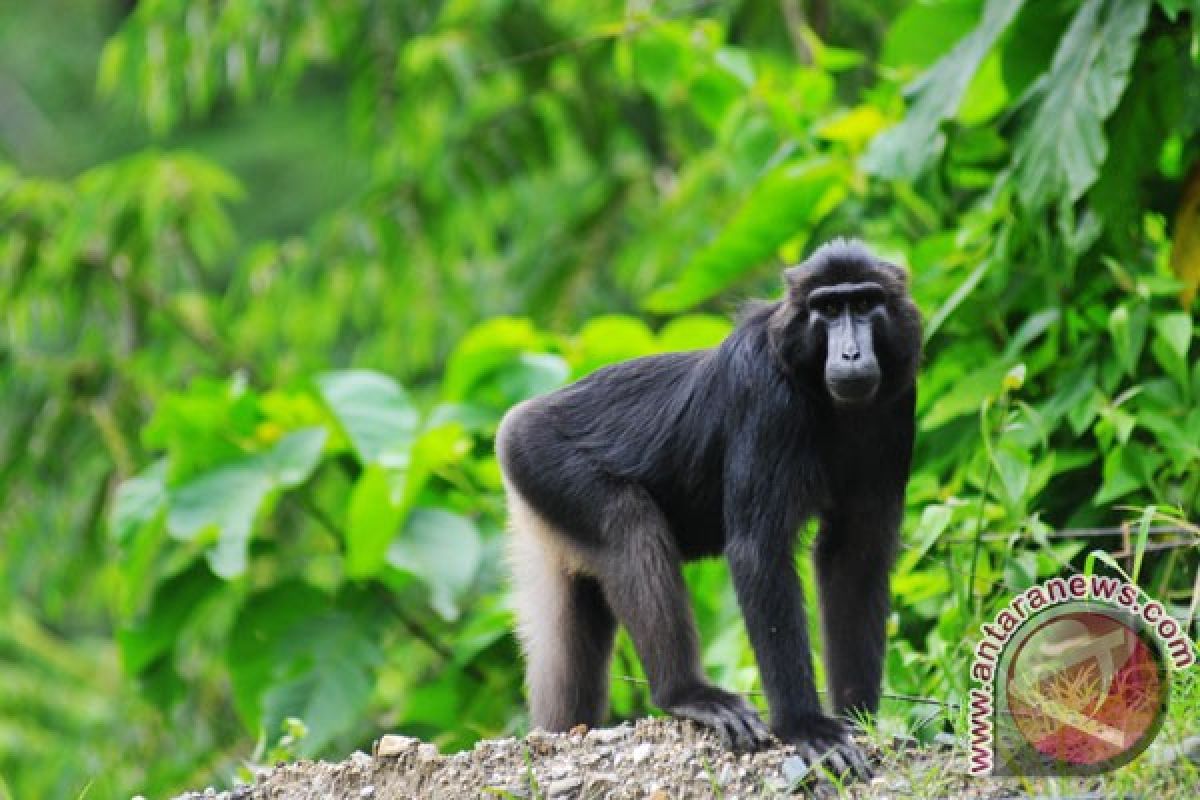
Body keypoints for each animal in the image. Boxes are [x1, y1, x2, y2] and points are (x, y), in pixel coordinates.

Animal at [492, 239, 921, 777]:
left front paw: (859, 720)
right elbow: (757, 551)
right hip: (539, 457)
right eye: (827, 309)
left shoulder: (897, 401)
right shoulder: (765, 391)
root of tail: (518, 420)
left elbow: (855, 555)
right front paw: (806, 727)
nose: (850, 352)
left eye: (864, 304)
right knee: (629, 524)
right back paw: (686, 693)